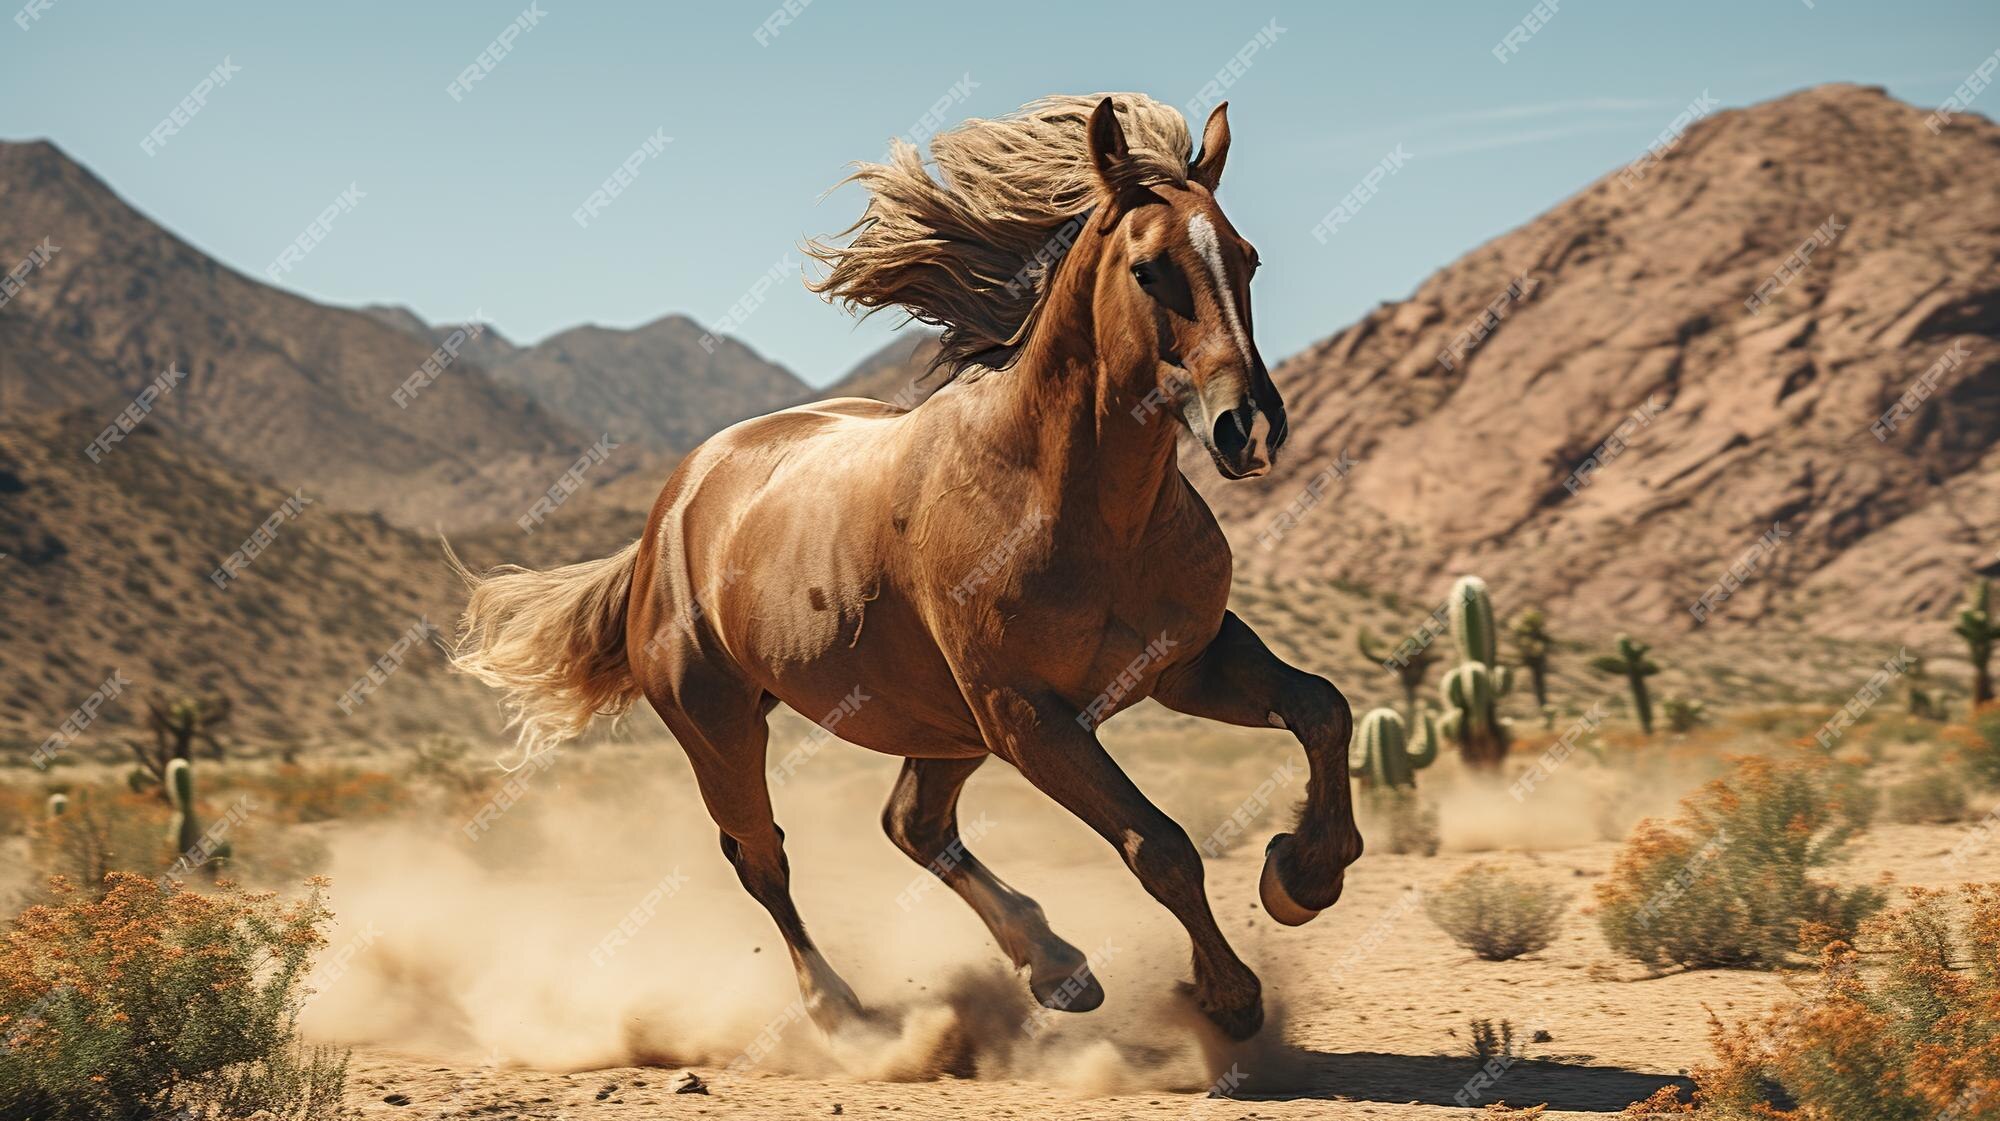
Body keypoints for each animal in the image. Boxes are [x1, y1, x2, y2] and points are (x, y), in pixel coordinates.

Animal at [454, 94, 1360, 1040]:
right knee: (763, 857)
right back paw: (842, 1010)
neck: (1074, 503)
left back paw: (1056, 965)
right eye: (1150, 270)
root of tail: (672, 509)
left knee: (911, 826)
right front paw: (1231, 995)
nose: (1249, 427)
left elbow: (1322, 708)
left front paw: (1303, 875)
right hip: (723, 724)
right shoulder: (1029, 717)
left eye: (1248, 257)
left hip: (940, 724)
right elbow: (1162, 845)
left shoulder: (1184, 661)